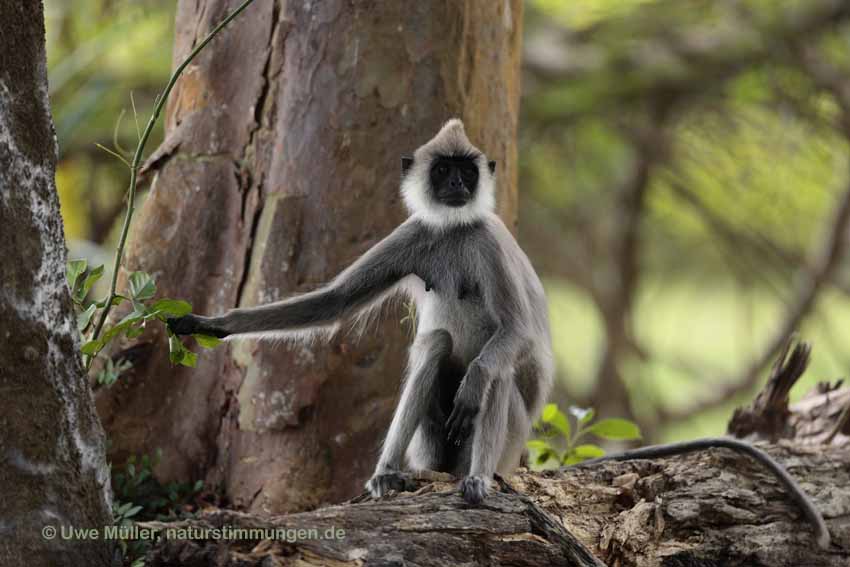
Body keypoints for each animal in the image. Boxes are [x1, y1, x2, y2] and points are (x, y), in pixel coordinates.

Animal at [171, 120, 556, 506]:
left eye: (466, 172)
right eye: (443, 170)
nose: (457, 185)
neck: (453, 228)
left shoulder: (489, 241)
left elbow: (515, 331)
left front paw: (475, 382)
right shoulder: (413, 232)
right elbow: (335, 301)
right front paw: (212, 324)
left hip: (509, 442)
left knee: (497, 370)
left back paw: (477, 475)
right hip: (432, 446)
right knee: (436, 343)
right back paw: (387, 473)